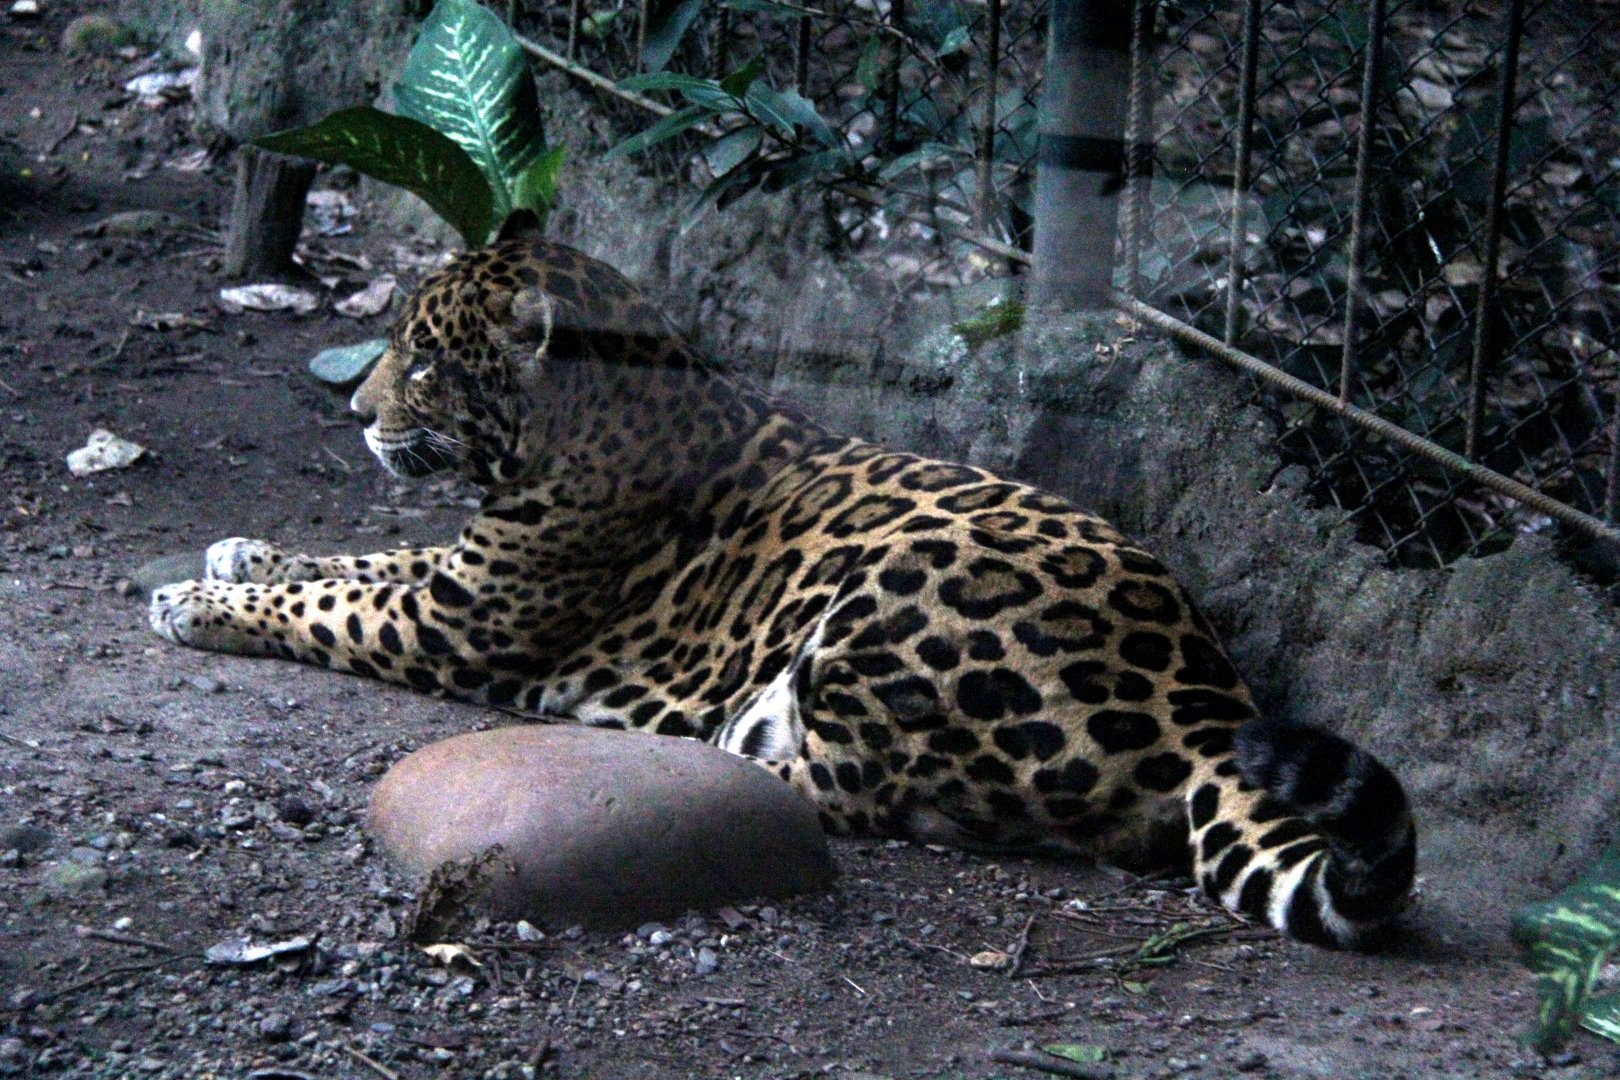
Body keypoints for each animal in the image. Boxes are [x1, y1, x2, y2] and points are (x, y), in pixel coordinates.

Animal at [149, 215, 1417, 948]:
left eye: (424, 360)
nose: (355, 412)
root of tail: (1207, 703)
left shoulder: (467, 617)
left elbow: (331, 600)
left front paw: (198, 602)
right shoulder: (464, 571)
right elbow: (358, 558)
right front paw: (236, 554)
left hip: (891, 602)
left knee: (867, 794)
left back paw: (702, 748)